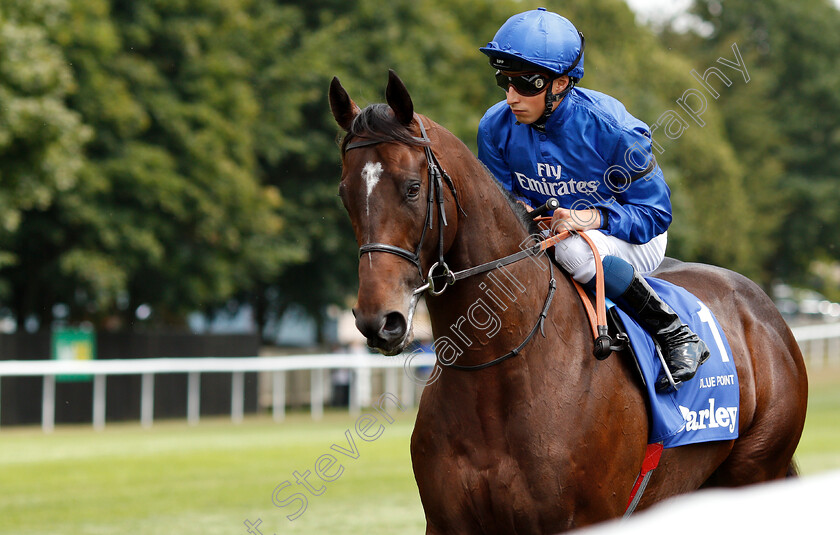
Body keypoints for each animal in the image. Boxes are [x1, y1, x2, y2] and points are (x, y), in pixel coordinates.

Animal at [328, 70, 808, 532]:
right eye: (344, 193)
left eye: (412, 188)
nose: (379, 319)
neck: (496, 375)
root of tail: (764, 311)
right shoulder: (448, 524)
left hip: (755, 471)